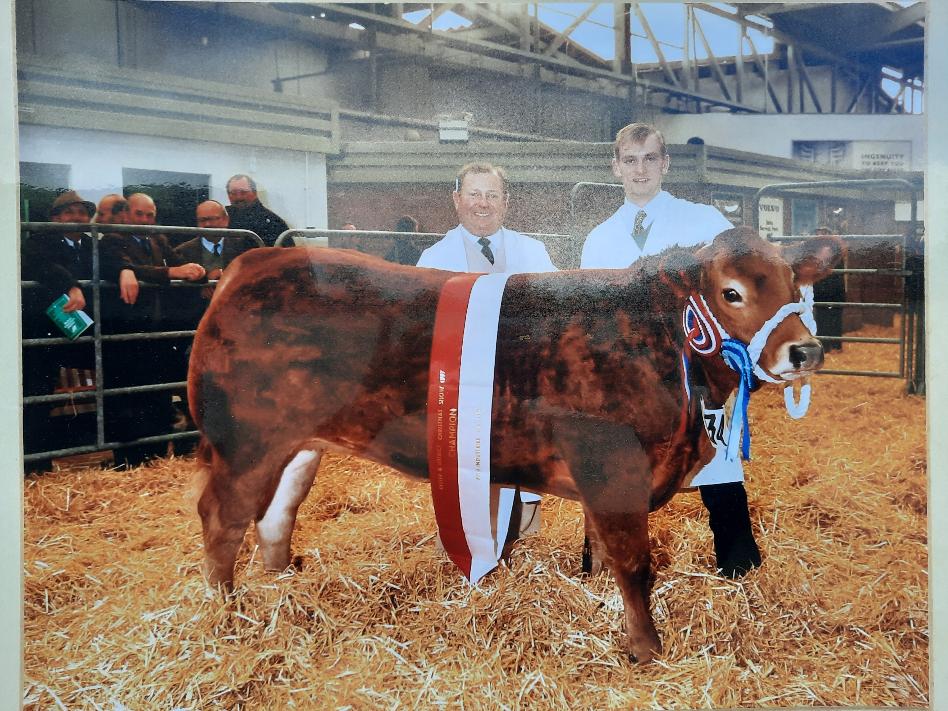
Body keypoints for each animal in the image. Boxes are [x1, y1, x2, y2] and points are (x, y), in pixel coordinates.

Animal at [187, 227, 844, 660]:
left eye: (793, 283)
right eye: (732, 292)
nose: (805, 350)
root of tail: (254, 262)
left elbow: (604, 553)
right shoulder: (614, 468)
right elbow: (635, 564)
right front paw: (647, 649)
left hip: (300, 445)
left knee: (276, 513)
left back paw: (283, 591)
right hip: (245, 442)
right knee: (222, 517)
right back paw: (226, 612)